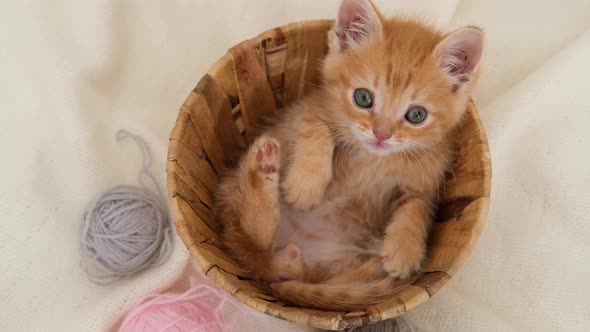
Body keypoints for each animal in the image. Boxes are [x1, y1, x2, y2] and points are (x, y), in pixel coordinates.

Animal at [215, 0, 484, 312]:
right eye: (363, 98)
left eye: (416, 115)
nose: (381, 134)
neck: (374, 159)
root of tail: (269, 268)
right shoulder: (305, 108)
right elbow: (317, 127)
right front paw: (306, 185)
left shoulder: (429, 176)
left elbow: (419, 204)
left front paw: (404, 250)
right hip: (232, 196)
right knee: (253, 233)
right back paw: (262, 166)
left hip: (328, 268)